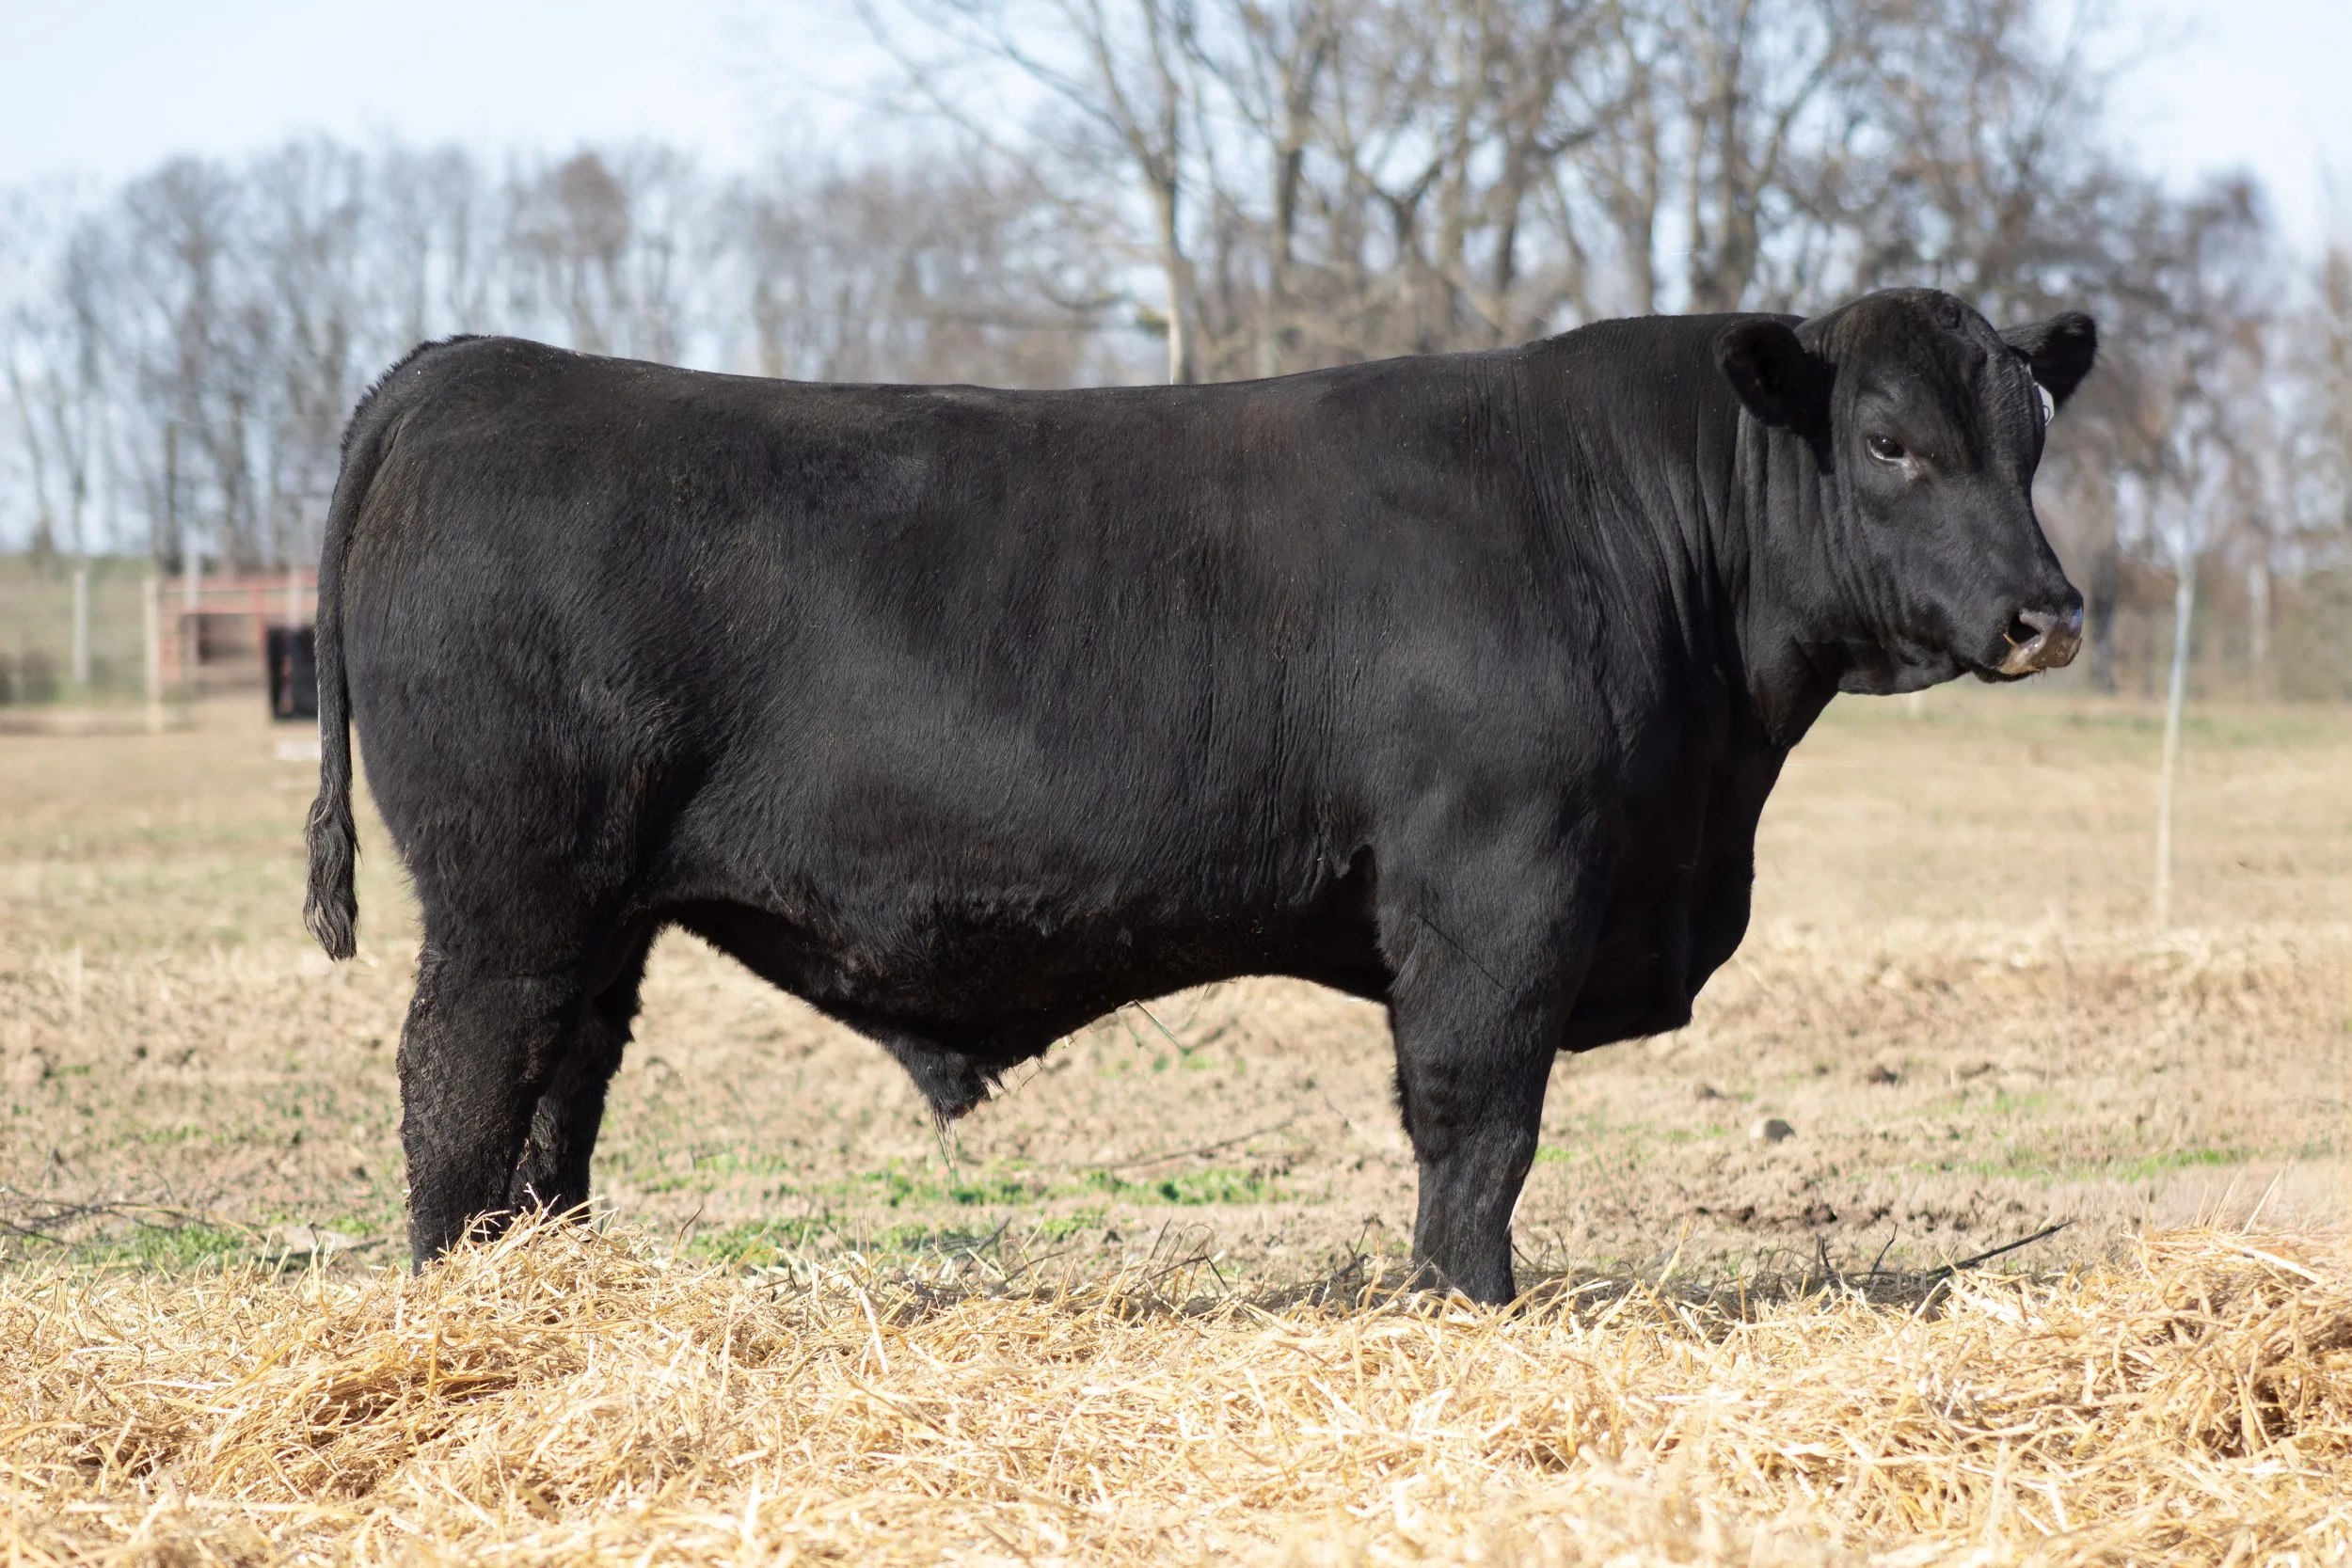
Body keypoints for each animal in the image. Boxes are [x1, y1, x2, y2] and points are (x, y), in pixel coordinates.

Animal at [304, 287, 2095, 1303]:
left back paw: (542, 1289)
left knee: (557, 1103)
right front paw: (1469, 1308)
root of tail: (468, 370)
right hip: (509, 889)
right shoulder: (1498, 888)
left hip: (599, 911)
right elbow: (1478, 1125)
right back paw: (455, 1307)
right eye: (1887, 440)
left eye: (2032, 432)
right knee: (457, 1085)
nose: (2048, 612)